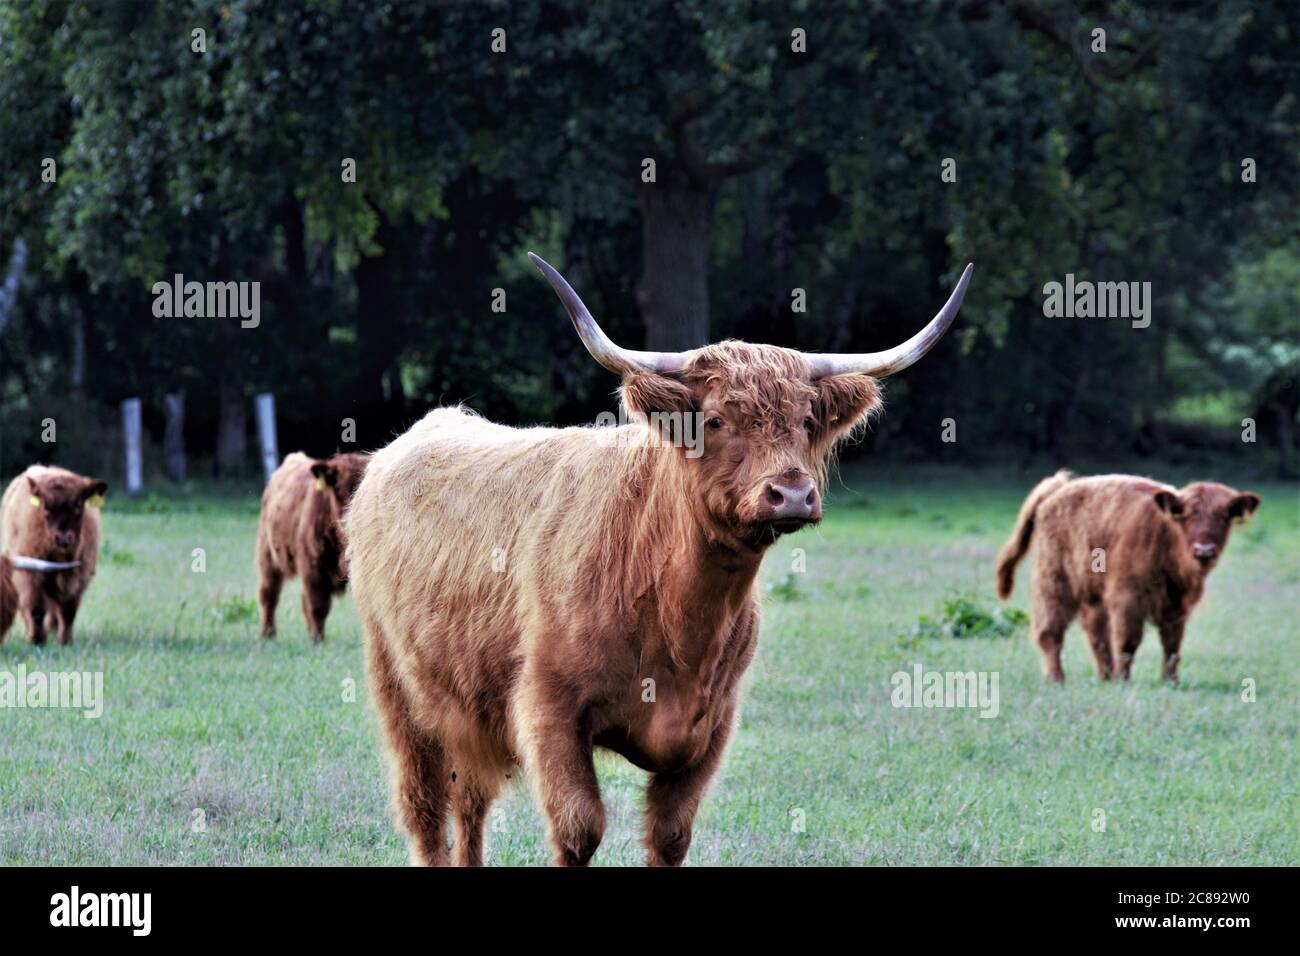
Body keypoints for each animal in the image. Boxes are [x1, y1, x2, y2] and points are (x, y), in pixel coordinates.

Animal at [1, 465, 107, 645]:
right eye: (46, 506)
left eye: (78, 505)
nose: (63, 538)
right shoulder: (30, 577)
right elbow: (36, 609)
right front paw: (37, 640)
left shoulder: (78, 578)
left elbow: (68, 611)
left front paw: (65, 640)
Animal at [256, 451, 370, 642]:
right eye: (337, 487)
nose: (347, 518)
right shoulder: (312, 565)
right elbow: (318, 605)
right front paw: (318, 640)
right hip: (267, 554)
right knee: (269, 594)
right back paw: (267, 633)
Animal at [345, 252, 972, 866]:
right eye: (716, 420)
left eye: (806, 422)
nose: (792, 493)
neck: (676, 614)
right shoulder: (548, 709)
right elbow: (580, 829)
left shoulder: (712, 725)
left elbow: (670, 836)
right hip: (399, 691)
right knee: (426, 811)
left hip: (466, 709)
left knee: (471, 805)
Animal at [996, 470, 1261, 683]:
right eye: (1185, 515)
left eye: (1224, 516)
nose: (1204, 550)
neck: (1166, 537)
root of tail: (1056, 491)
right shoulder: (1127, 597)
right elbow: (1128, 641)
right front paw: (1124, 680)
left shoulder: (1177, 604)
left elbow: (1172, 644)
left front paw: (1170, 681)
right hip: (1053, 581)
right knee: (1050, 630)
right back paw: (1057, 678)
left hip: (1092, 593)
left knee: (1096, 633)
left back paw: (1105, 676)